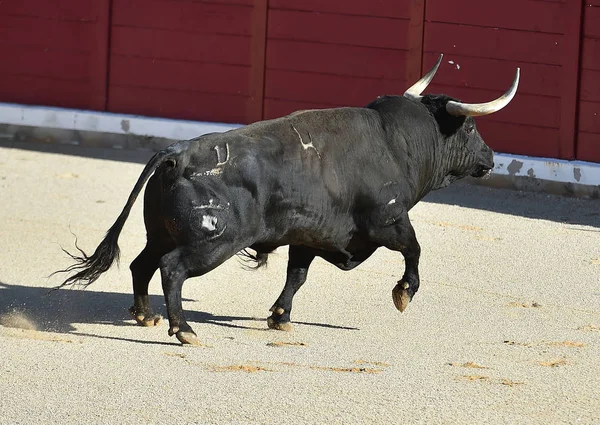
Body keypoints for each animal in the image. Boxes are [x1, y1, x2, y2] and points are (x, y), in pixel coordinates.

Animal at [55, 54, 520, 344]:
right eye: (470, 128)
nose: (491, 158)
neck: (396, 142)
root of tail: (176, 154)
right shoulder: (387, 221)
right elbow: (414, 249)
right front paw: (403, 293)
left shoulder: (308, 234)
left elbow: (297, 275)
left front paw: (280, 318)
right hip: (212, 243)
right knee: (172, 270)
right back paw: (183, 330)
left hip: (162, 233)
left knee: (142, 263)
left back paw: (146, 315)